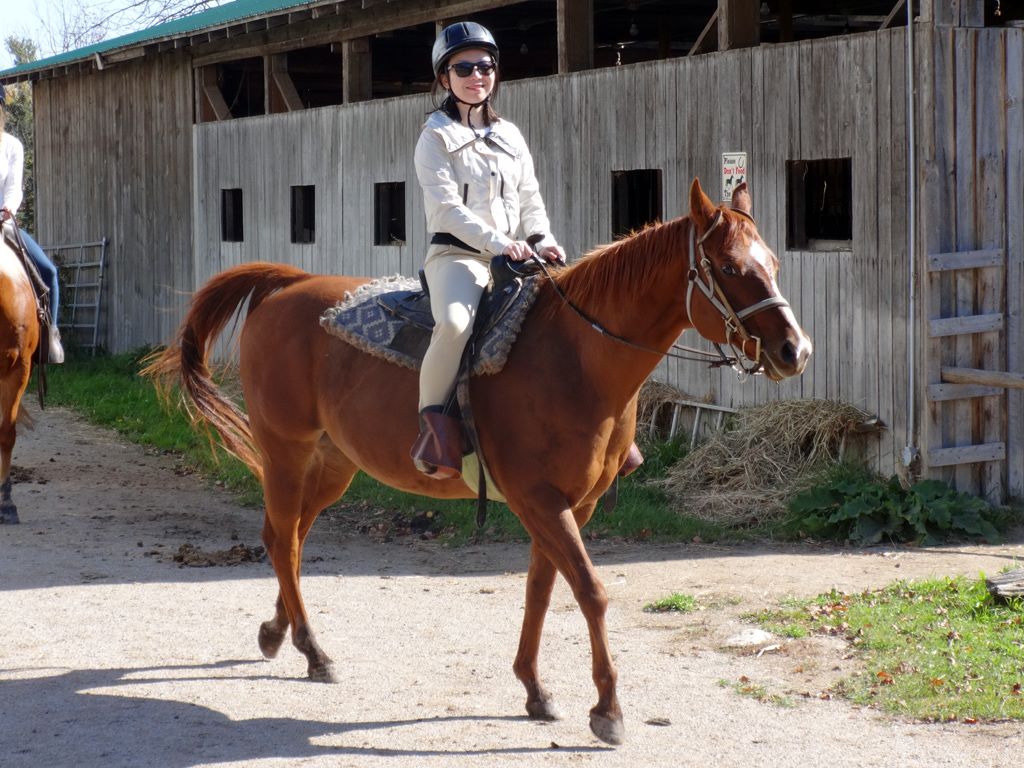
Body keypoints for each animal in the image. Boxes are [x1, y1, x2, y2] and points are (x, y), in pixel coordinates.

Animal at [149, 180, 806, 745]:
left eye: (773, 263)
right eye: (729, 268)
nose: (794, 350)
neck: (575, 357)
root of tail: (291, 284)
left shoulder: (572, 506)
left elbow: (542, 589)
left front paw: (535, 690)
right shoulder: (540, 500)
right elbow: (590, 591)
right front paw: (608, 710)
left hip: (332, 464)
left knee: (286, 535)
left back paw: (277, 633)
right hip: (286, 449)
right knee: (284, 538)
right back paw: (315, 651)